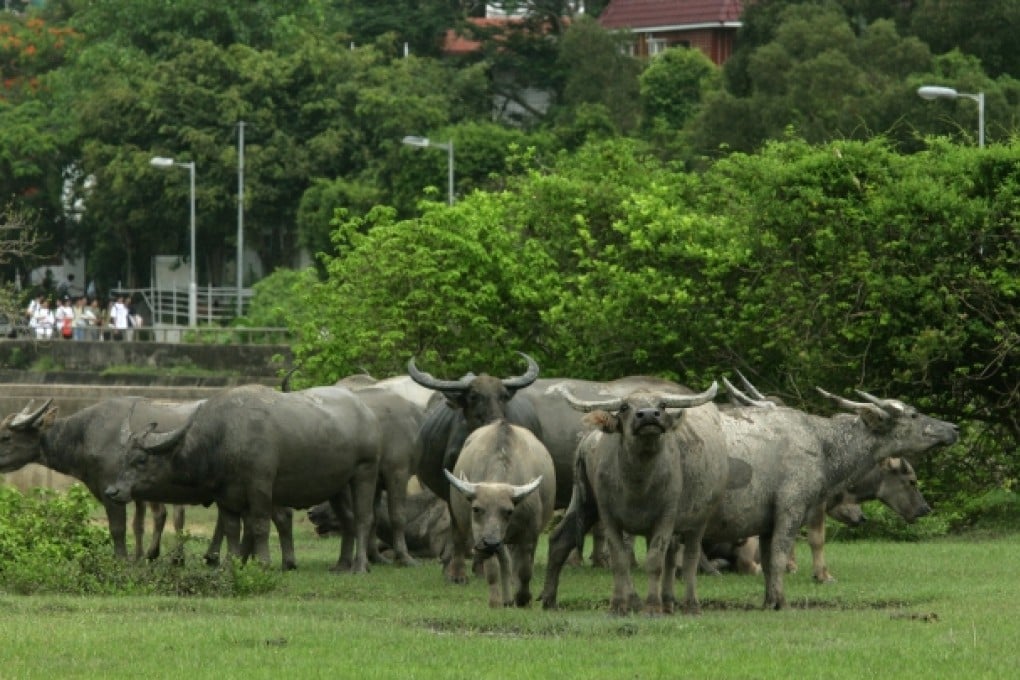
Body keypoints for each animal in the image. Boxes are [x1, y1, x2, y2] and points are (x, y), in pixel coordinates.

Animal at [0, 395, 206, 562]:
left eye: (6, 437)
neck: (84, 435)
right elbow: (137, 525)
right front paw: (137, 559)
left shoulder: (114, 493)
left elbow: (118, 529)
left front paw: (122, 561)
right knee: (175, 515)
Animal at [106, 385, 383, 570]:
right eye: (123, 458)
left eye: (141, 460)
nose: (113, 491)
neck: (224, 438)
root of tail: (367, 413)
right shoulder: (225, 496)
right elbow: (231, 528)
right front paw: (230, 563)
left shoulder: (260, 487)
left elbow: (259, 525)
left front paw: (263, 563)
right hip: (338, 486)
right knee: (347, 519)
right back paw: (342, 564)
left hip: (365, 471)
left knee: (364, 518)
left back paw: (360, 566)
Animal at [442, 422, 554, 607]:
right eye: (476, 508)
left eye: (509, 511)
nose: (491, 542)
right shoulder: (482, 538)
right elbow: (493, 570)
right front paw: (495, 601)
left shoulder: (529, 534)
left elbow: (525, 569)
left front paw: (523, 598)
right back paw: (461, 577)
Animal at [538, 383, 730, 615]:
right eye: (624, 407)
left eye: (662, 405)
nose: (648, 415)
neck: (639, 484)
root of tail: (586, 442)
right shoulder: (609, 517)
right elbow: (620, 559)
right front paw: (618, 604)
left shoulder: (666, 518)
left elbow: (655, 561)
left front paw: (652, 606)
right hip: (586, 501)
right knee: (560, 540)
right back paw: (549, 600)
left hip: (698, 521)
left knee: (690, 557)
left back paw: (689, 605)